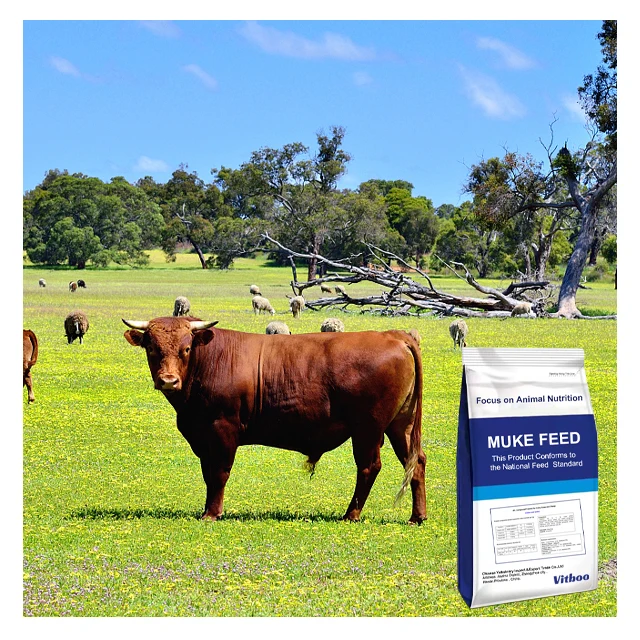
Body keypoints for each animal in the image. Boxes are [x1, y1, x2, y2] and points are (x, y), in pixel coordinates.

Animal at [122, 317, 426, 524]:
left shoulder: (223, 429)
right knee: (416, 461)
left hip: (368, 428)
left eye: (186, 349)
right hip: (401, 425)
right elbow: (208, 474)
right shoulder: (202, 436)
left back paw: (351, 514)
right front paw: (207, 509)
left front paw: (213, 513)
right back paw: (417, 516)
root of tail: (393, 335)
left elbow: (219, 473)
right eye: (152, 348)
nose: (168, 380)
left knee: (369, 466)